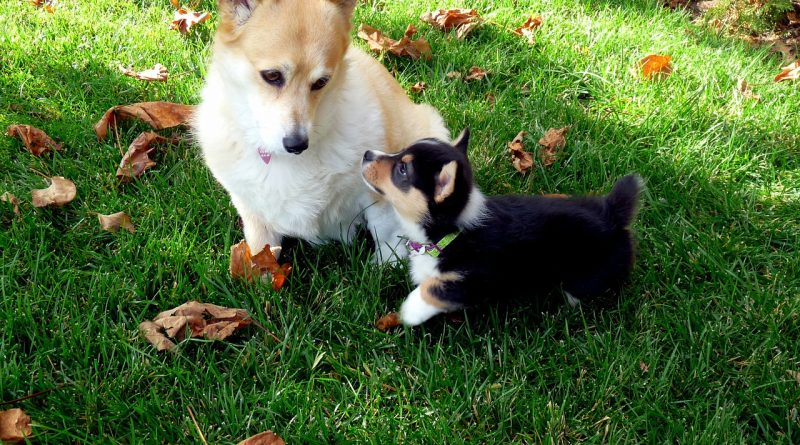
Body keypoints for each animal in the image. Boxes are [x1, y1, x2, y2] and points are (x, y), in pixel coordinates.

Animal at [194, 0, 450, 260]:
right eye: (272, 75)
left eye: (321, 82)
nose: (297, 144)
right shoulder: (255, 216)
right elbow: (260, 255)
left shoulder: (377, 196)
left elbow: (387, 237)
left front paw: (386, 265)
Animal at [362, 130, 644, 324]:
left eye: (402, 170)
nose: (366, 154)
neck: (450, 232)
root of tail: (612, 215)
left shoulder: (473, 279)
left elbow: (434, 289)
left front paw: (409, 311)